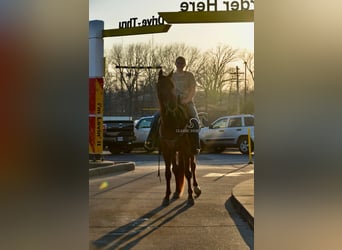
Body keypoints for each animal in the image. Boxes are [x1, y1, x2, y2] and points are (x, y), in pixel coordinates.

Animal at [156, 69, 202, 206]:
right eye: (160, 86)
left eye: (172, 85)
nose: (172, 104)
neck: (172, 122)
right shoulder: (167, 150)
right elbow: (168, 173)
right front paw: (166, 196)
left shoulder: (185, 150)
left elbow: (188, 173)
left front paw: (190, 197)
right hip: (175, 151)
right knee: (176, 169)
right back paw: (176, 191)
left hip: (191, 151)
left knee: (193, 167)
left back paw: (196, 188)